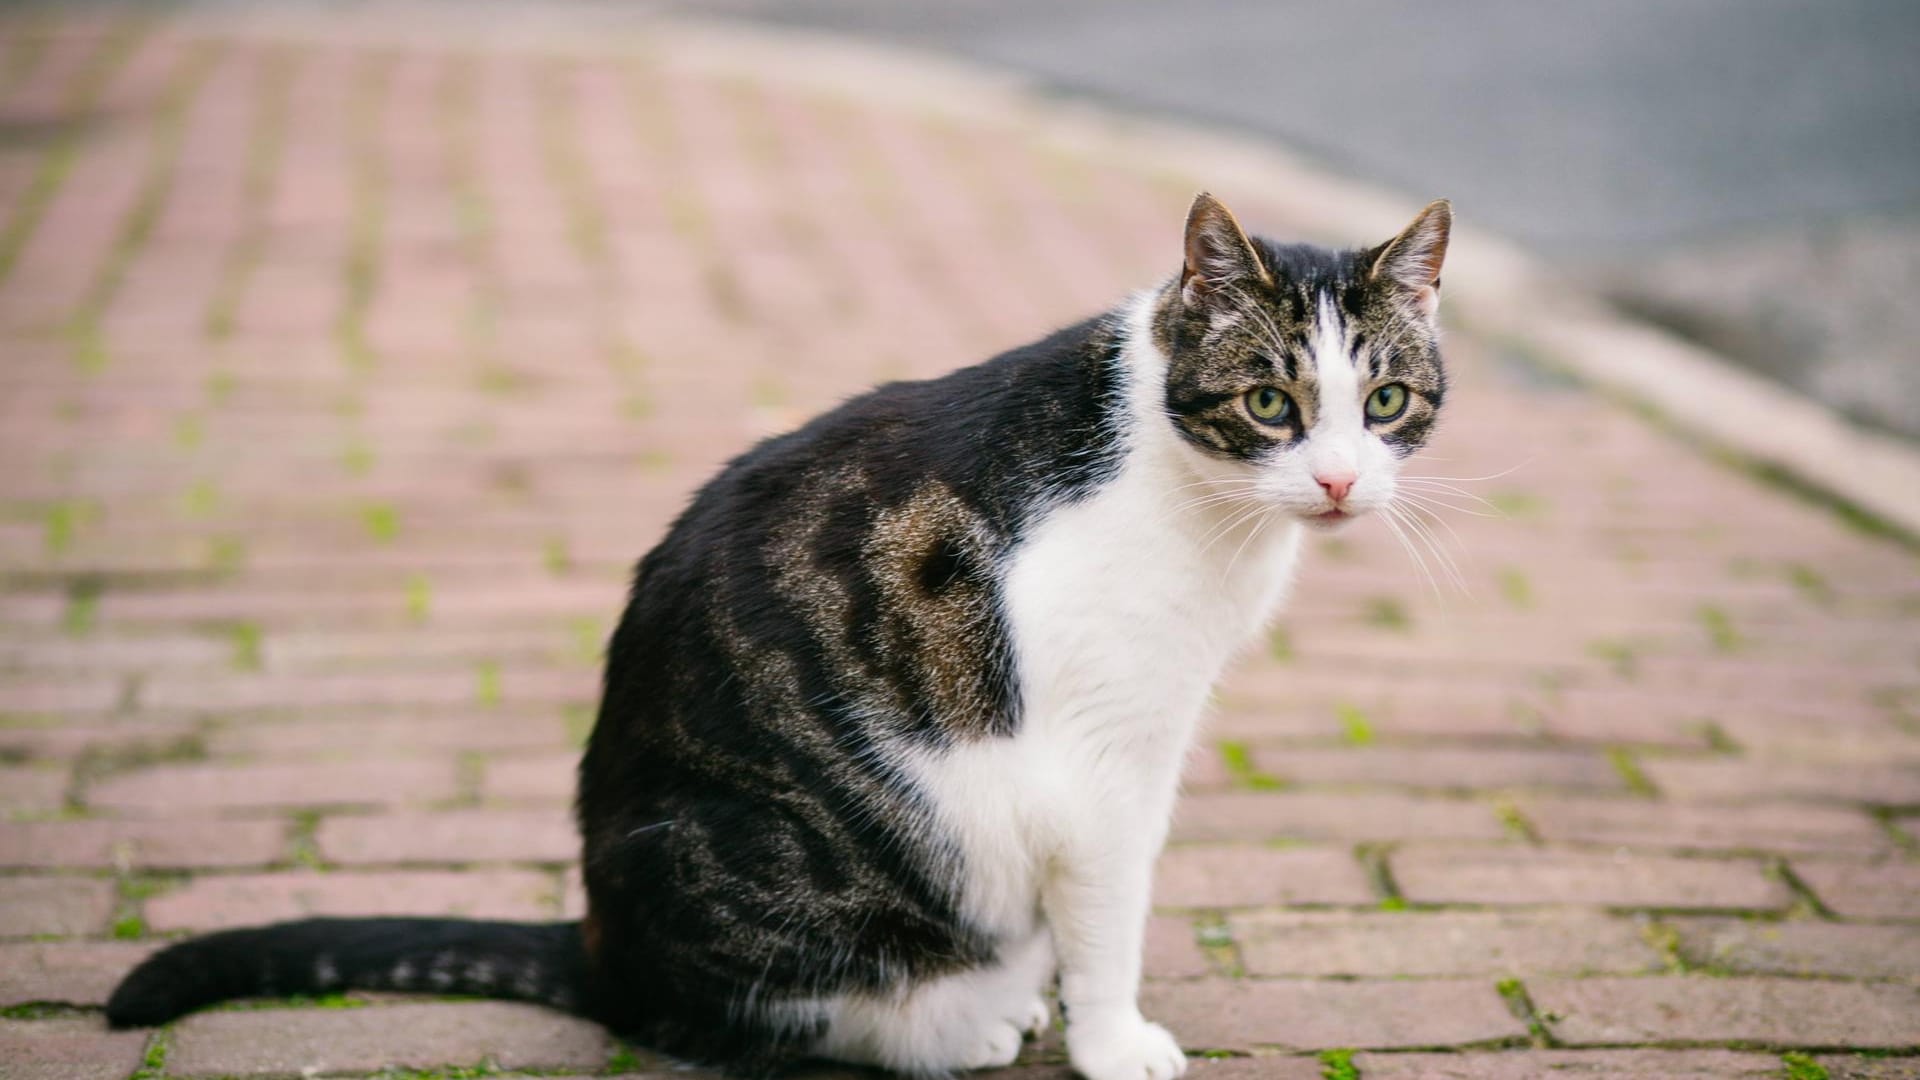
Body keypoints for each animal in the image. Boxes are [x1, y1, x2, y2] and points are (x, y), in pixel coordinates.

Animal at [108, 193, 1451, 1076]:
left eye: (1386, 400)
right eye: (1270, 402)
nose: (1340, 481)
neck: (1187, 487)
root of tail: (604, 945)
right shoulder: (1107, 761)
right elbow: (1109, 920)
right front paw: (1116, 1043)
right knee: (732, 1018)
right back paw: (956, 1023)